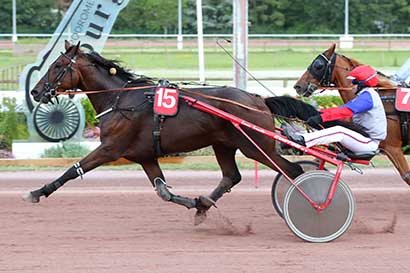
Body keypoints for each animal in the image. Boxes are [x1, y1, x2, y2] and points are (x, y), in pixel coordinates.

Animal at [23, 41, 304, 223]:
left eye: (58, 65)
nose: (36, 91)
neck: (120, 99)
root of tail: (258, 99)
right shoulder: (145, 156)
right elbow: (163, 191)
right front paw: (195, 203)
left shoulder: (110, 148)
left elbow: (73, 170)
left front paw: (37, 192)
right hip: (223, 144)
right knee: (231, 177)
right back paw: (204, 206)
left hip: (255, 146)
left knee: (293, 170)